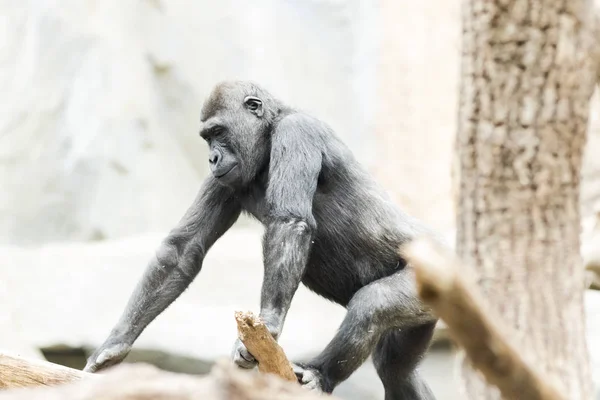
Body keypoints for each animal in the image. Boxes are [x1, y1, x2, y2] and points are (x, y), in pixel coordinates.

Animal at [84, 80, 438, 400]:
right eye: (207, 138)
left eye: (218, 132)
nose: (212, 158)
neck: (270, 130)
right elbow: (183, 249)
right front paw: (115, 344)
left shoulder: (296, 132)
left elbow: (289, 222)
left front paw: (268, 322)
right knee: (396, 370)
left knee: (372, 306)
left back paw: (321, 373)